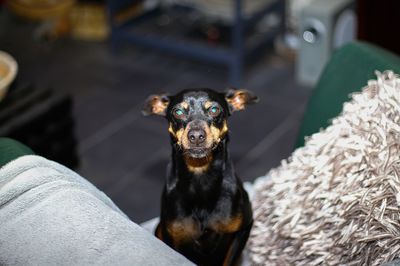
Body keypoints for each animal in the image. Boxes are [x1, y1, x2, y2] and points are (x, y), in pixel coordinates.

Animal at [142, 88, 258, 264]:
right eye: (178, 112)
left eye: (214, 109)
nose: (196, 136)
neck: (200, 177)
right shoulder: (172, 238)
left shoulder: (243, 229)